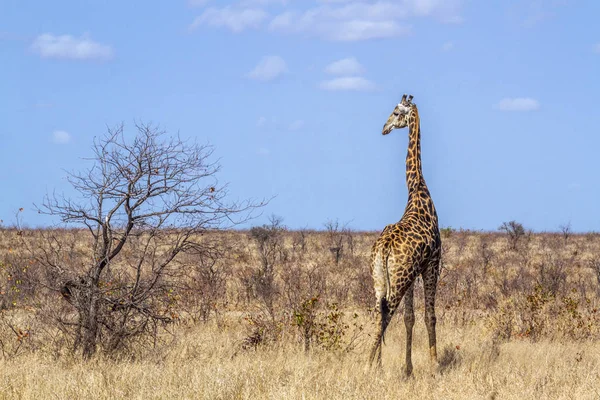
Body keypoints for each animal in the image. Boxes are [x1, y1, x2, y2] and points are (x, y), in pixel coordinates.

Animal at [366, 93, 440, 376]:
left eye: (397, 112)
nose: (384, 128)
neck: (418, 191)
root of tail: (384, 248)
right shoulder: (433, 263)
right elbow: (430, 316)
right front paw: (435, 366)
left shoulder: (415, 271)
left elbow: (410, 318)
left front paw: (408, 368)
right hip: (398, 279)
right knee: (386, 315)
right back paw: (367, 365)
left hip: (380, 278)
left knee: (379, 313)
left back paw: (376, 365)